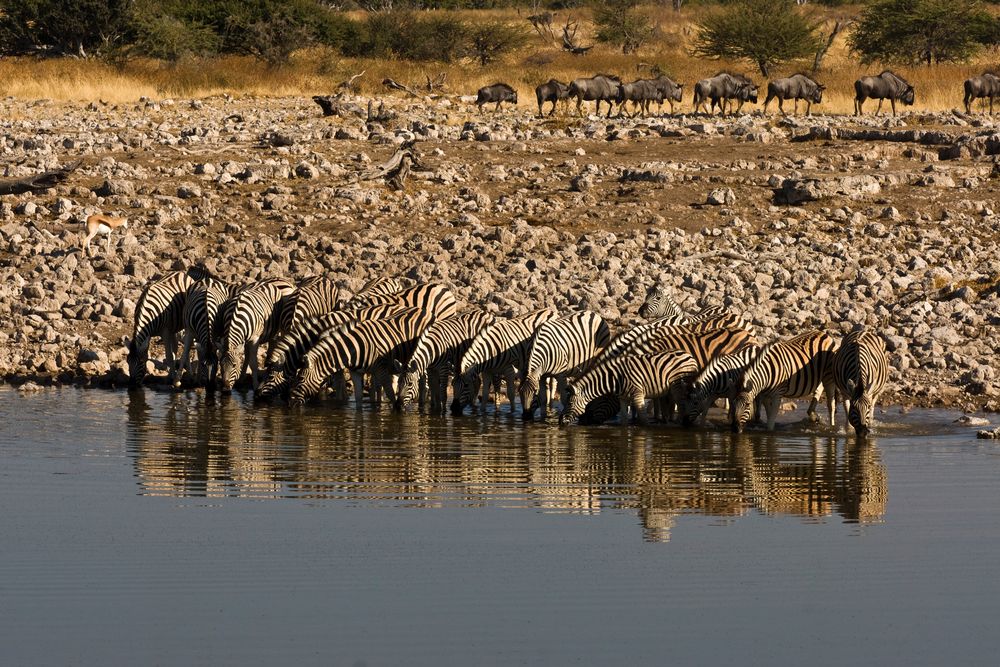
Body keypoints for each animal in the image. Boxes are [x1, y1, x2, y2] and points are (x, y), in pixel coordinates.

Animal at [288, 308, 432, 408]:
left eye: (300, 379)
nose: (290, 402)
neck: (353, 349)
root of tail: (422, 310)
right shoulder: (355, 372)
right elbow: (358, 399)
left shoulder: (381, 369)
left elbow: (390, 393)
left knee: (422, 381)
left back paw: (422, 403)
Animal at [568, 352, 700, 426]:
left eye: (570, 403)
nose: (562, 422)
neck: (615, 379)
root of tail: (689, 355)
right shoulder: (623, 398)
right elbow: (624, 420)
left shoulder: (637, 393)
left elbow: (643, 419)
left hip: (678, 385)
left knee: (681, 402)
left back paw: (679, 422)